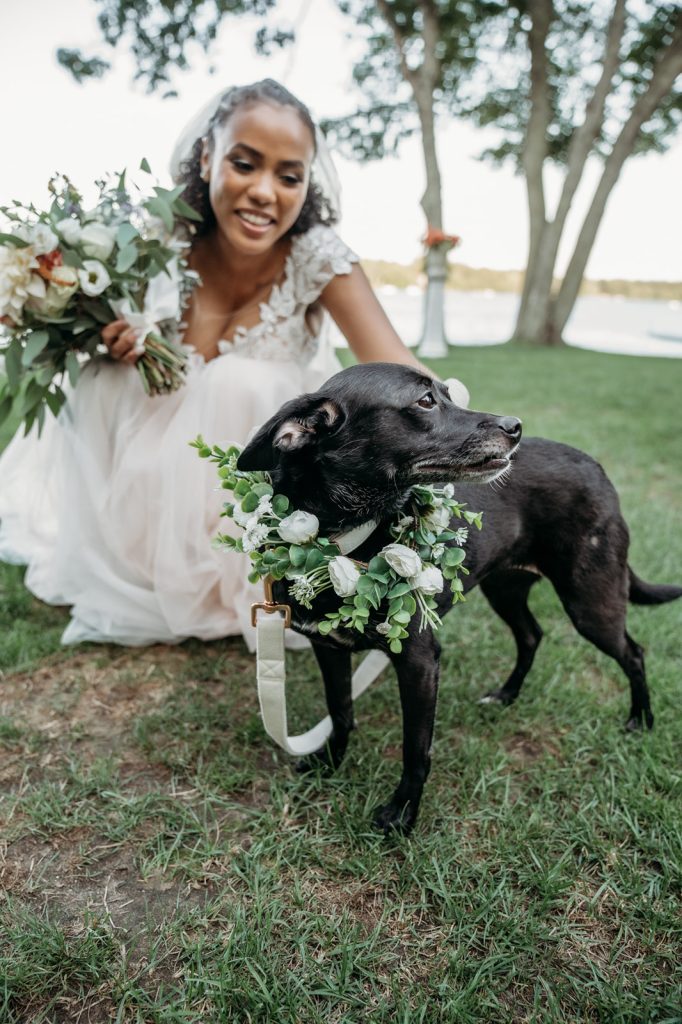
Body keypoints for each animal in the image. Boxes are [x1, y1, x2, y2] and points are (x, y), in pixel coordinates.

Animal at [236, 364, 675, 835]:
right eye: (426, 401)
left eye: (447, 394)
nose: (515, 426)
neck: (340, 544)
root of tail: (597, 467)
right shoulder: (328, 648)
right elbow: (340, 711)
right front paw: (330, 762)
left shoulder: (420, 661)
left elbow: (415, 749)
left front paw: (403, 813)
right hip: (506, 590)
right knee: (532, 635)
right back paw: (506, 695)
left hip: (590, 601)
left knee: (633, 652)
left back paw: (641, 720)